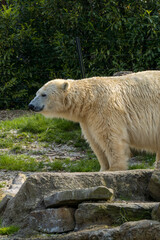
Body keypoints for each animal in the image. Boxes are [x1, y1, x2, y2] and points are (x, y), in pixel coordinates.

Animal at [28, 70, 160, 172]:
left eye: (44, 94)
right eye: (36, 93)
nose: (31, 105)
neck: (89, 99)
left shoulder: (105, 109)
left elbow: (110, 138)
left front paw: (114, 168)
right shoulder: (87, 119)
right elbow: (95, 142)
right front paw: (103, 168)